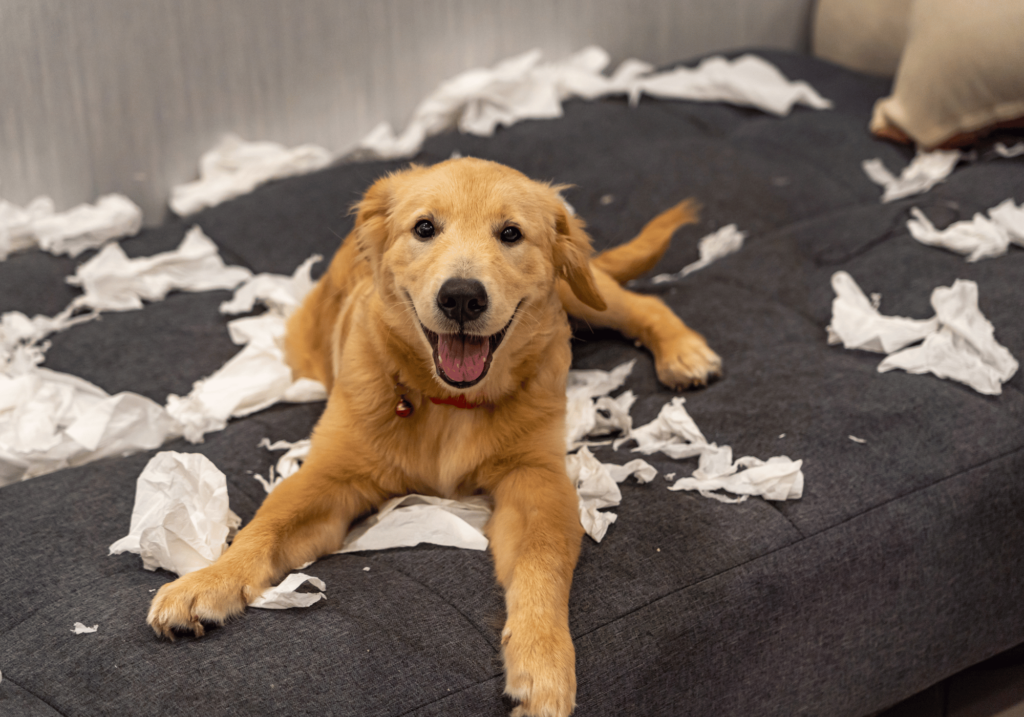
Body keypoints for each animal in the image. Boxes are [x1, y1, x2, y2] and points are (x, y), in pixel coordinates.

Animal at [148, 157, 720, 717]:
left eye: (511, 233)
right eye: (424, 228)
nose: (462, 298)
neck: (449, 403)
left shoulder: (537, 480)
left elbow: (543, 564)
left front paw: (543, 662)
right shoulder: (328, 478)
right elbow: (263, 528)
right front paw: (206, 583)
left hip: (581, 291)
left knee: (638, 304)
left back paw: (684, 351)